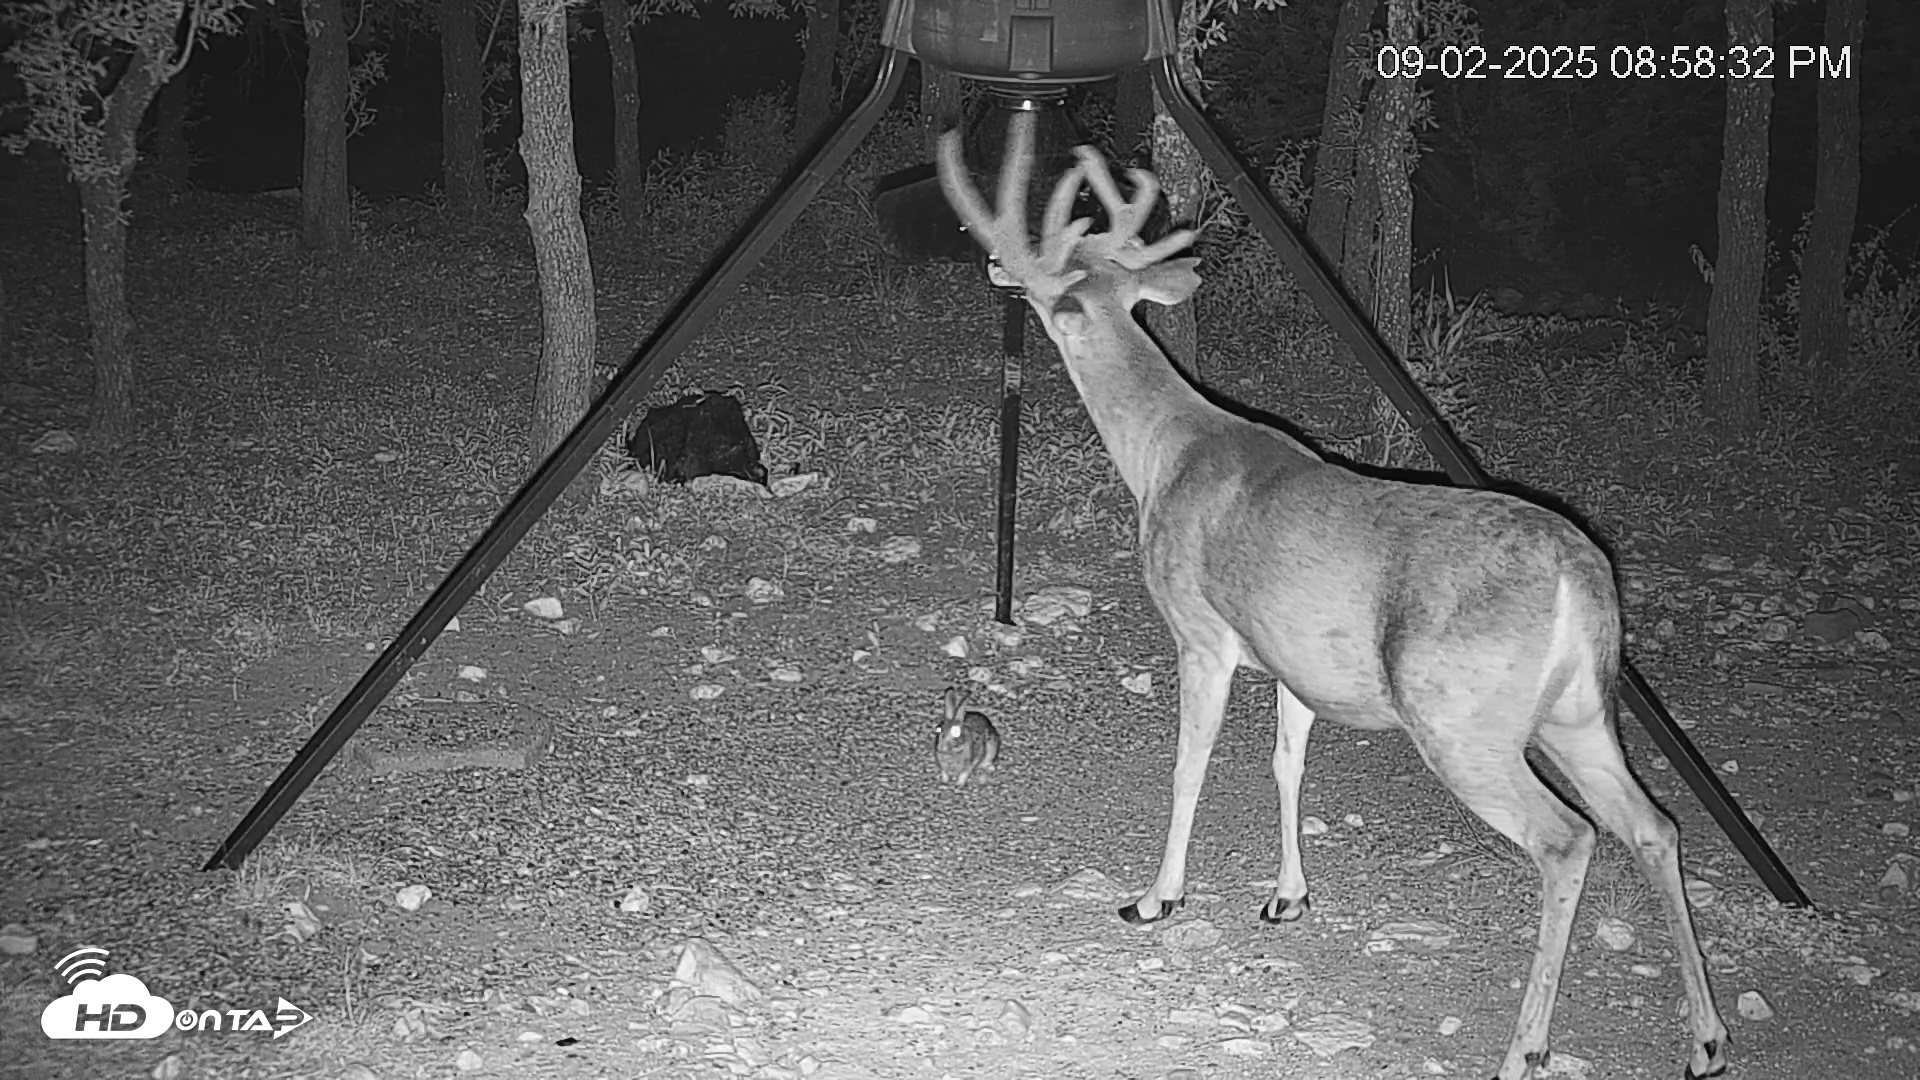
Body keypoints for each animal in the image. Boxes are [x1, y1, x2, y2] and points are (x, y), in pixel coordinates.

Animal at [935, 112, 1729, 1080]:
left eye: (1054, 292)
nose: (995, 268)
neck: (1165, 455)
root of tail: (1583, 574)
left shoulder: (1201, 633)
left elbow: (1191, 762)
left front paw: (1155, 898)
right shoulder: (1296, 659)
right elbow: (1287, 764)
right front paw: (1287, 898)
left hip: (1461, 720)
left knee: (1567, 838)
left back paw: (1528, 1047)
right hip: (1580, 711)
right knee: (1657, 825)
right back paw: (1706, 1040)